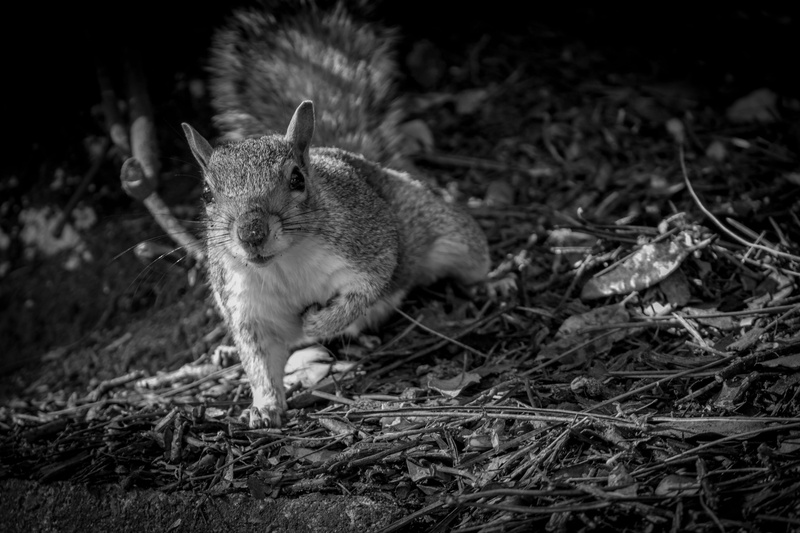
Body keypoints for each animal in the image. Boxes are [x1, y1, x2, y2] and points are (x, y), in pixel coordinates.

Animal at [182, 3, 490, 428]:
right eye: (207, 193)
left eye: (297, 178)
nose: (251, 233)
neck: (285, 263)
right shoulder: (246, 306)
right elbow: (259, 361)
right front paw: (264, 406)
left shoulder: (368, 248)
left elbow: (362, 294)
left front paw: (318, 321)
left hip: (450, 234)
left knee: (472, 260)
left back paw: (496, 282)